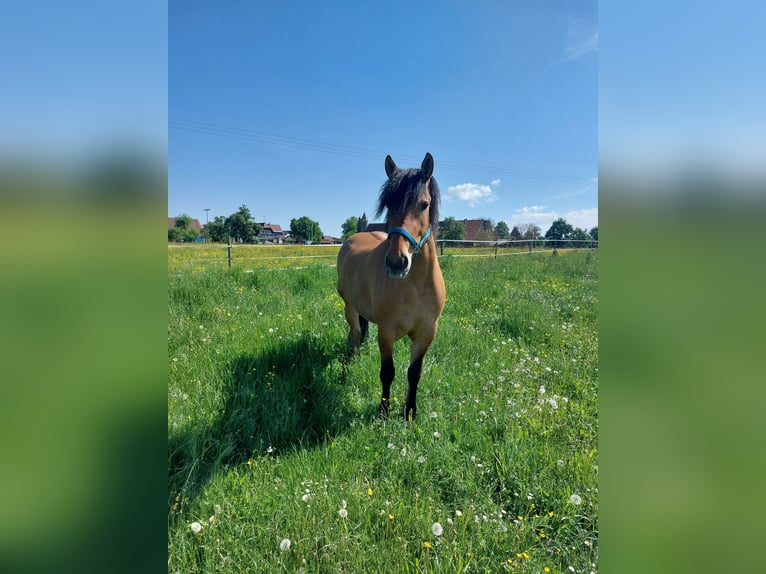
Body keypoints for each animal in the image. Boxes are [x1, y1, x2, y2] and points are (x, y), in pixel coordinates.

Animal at [338, 153, 450, 424]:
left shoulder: (427, 333)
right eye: (389, 205)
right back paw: (351, 363)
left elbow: (414, 373)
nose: (397, 263)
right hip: (349, 306)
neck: (415, 286)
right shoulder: (386, 332)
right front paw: (383, 410)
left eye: (424, 204)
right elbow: (387, 372)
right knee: (354, 333)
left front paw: (410, 412)